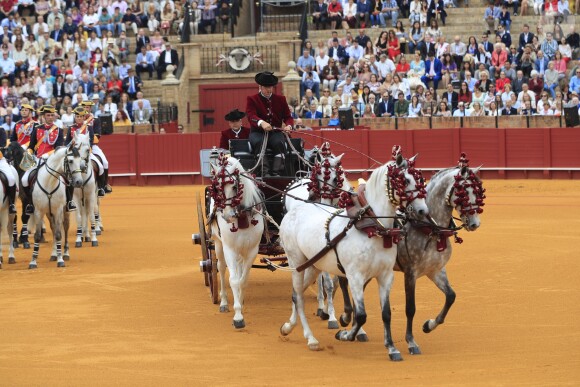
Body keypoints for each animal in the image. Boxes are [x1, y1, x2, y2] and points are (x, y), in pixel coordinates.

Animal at [210, 153, 266, 328]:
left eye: (235, 186)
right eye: (217, 188)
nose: (228, 216)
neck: (242, 217)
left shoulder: (252, 250)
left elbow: (243, 280)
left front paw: (240, 302)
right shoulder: (229, 249)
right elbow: (234, 280)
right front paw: (238, 316)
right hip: (218, 244)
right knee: (221, 268)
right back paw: (223, 302)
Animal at [278, 149, 428, 360]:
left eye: (420, 179)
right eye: (404, 180)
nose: (423, 211)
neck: (373, 228)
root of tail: (294, 210)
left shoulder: (385, 276)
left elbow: (386, 313)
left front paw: (392, 348)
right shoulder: (355, 275)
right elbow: (361, 314)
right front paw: (345, 333)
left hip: (313, 265)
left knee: (295, 294)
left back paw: (288, 327)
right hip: (296, 262)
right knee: (299, 296)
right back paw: (311, 339)